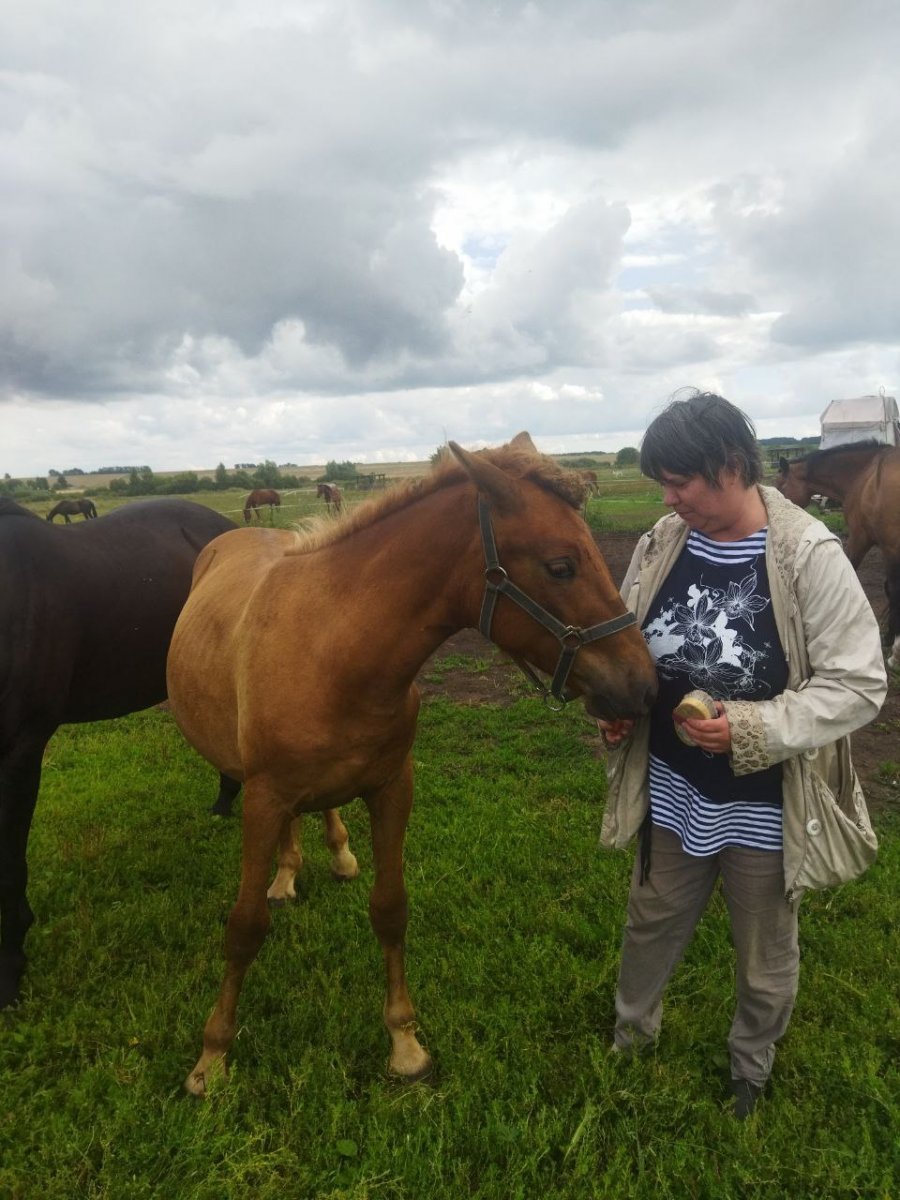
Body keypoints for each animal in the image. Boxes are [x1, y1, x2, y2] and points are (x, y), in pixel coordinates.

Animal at [168, 432, 657, 1099]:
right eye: (561, 565)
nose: (643, 685)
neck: (333, 649)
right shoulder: (263, 799)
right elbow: (244, 928)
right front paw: (212, 1056)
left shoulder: (392, 788)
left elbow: (390, 909)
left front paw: (404, 1044)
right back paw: (286, 875)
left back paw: (327, 859)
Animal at [777, 441, 900, 667]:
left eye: (780, 487)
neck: (867, 475)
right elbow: (889, 589)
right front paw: (889, 637)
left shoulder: (868, 541)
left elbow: (892, 590)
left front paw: (895, 650)